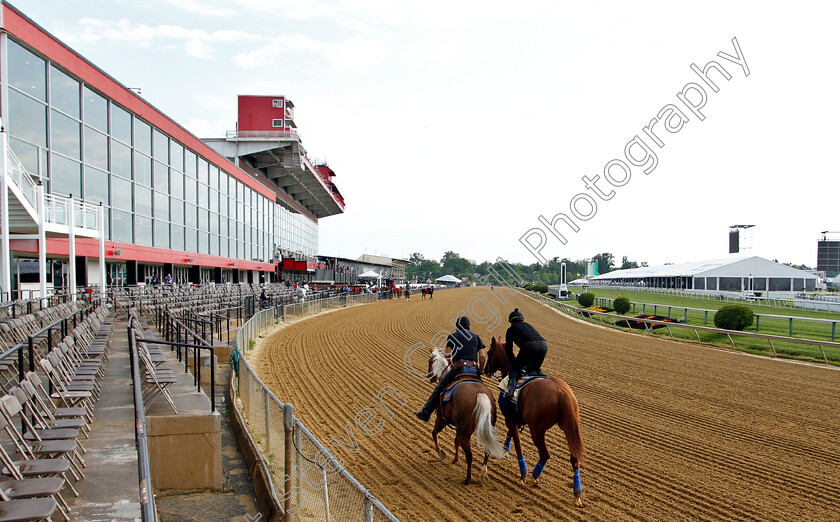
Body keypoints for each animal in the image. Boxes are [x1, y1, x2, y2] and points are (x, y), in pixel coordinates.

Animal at [486, 338, 584, 504]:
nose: (486, 369)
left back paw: (534, 477)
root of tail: (561, 392)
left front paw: (523, 473)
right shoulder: (516, 418)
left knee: (545, 454)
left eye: (489, 352)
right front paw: (504, 452)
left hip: (537, 430)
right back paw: (577, 493)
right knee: (574, 458)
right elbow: (511, 434)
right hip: (569, 427)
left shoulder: (509, 417)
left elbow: (517, 442)